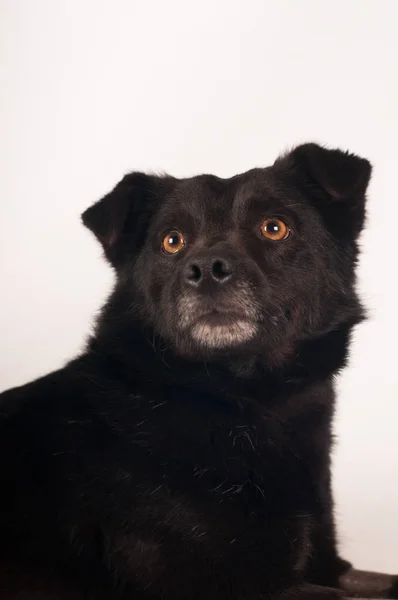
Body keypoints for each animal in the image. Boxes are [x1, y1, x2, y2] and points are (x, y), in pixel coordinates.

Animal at [0, 145, 396, 600]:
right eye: (172, 241)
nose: (206, 269)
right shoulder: (232, 584)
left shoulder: (329, 566)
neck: (247, 401)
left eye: (274, 227)